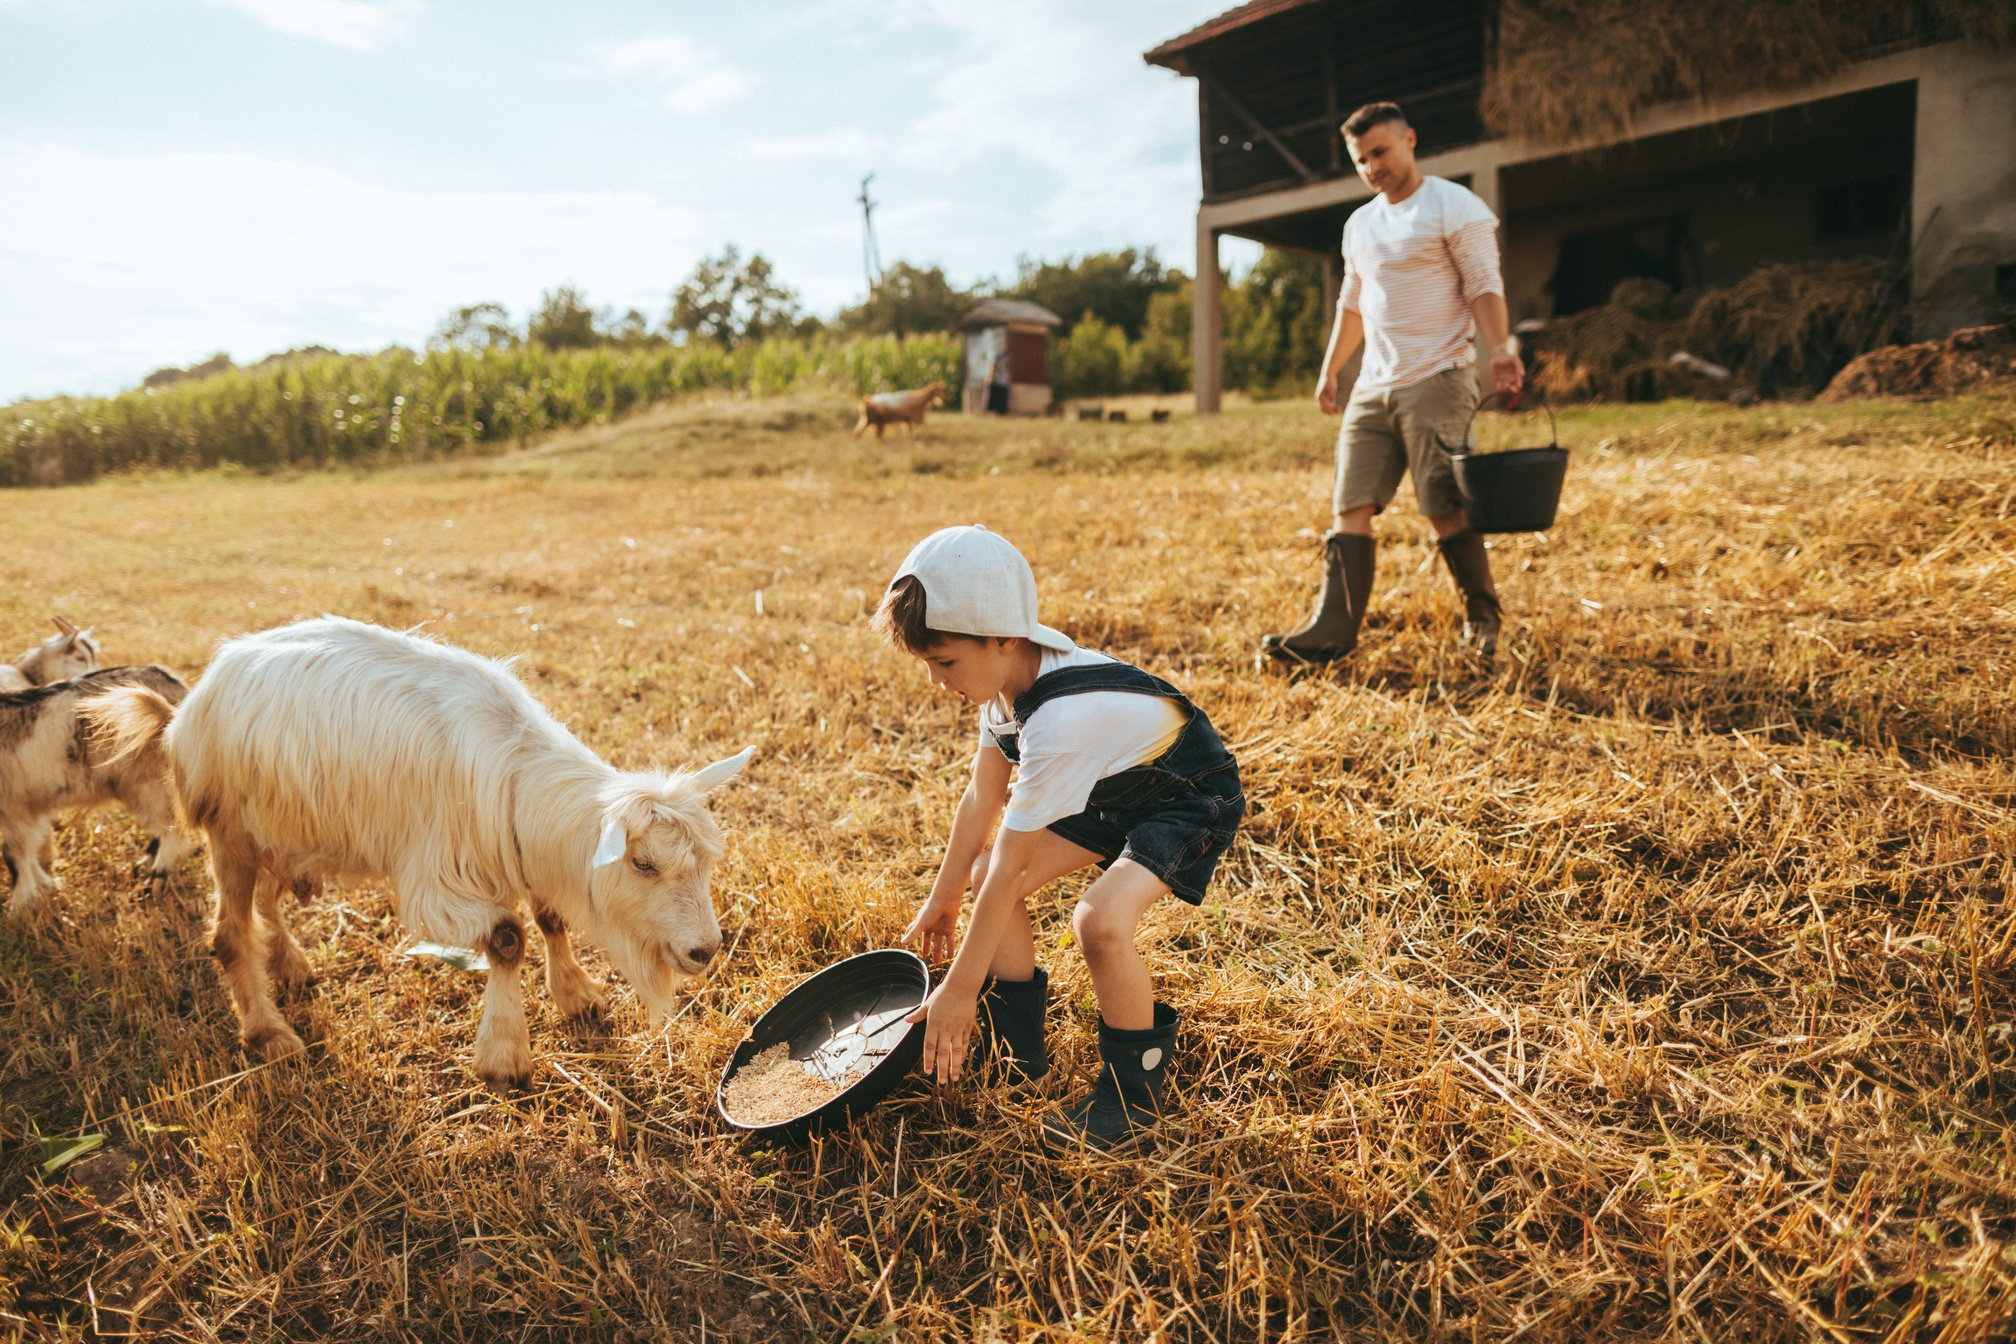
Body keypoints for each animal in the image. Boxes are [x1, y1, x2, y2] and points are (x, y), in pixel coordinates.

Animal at [2, 668, 194, 918]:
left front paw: (18, 907)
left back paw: (152, 883)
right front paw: (46, 887)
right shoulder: (28, 809)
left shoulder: (14, 808)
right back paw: (144, 865)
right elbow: (29, 851)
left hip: (148, 783)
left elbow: (14, 856)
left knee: (172, 828)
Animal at [86, 616, 758, 1088]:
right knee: (228, 934)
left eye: (706, 863)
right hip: (231, 832)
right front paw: (504, 1056)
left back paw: (291, 965)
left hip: (288, 834)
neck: (512, 768)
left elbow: (549, 916)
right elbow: (508, 937)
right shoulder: (437, 879)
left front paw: (576, 995)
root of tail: (184, 713)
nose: (704, 951)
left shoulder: (516, 852)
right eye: (643, 864)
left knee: (268, 903)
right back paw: (269, 1032)